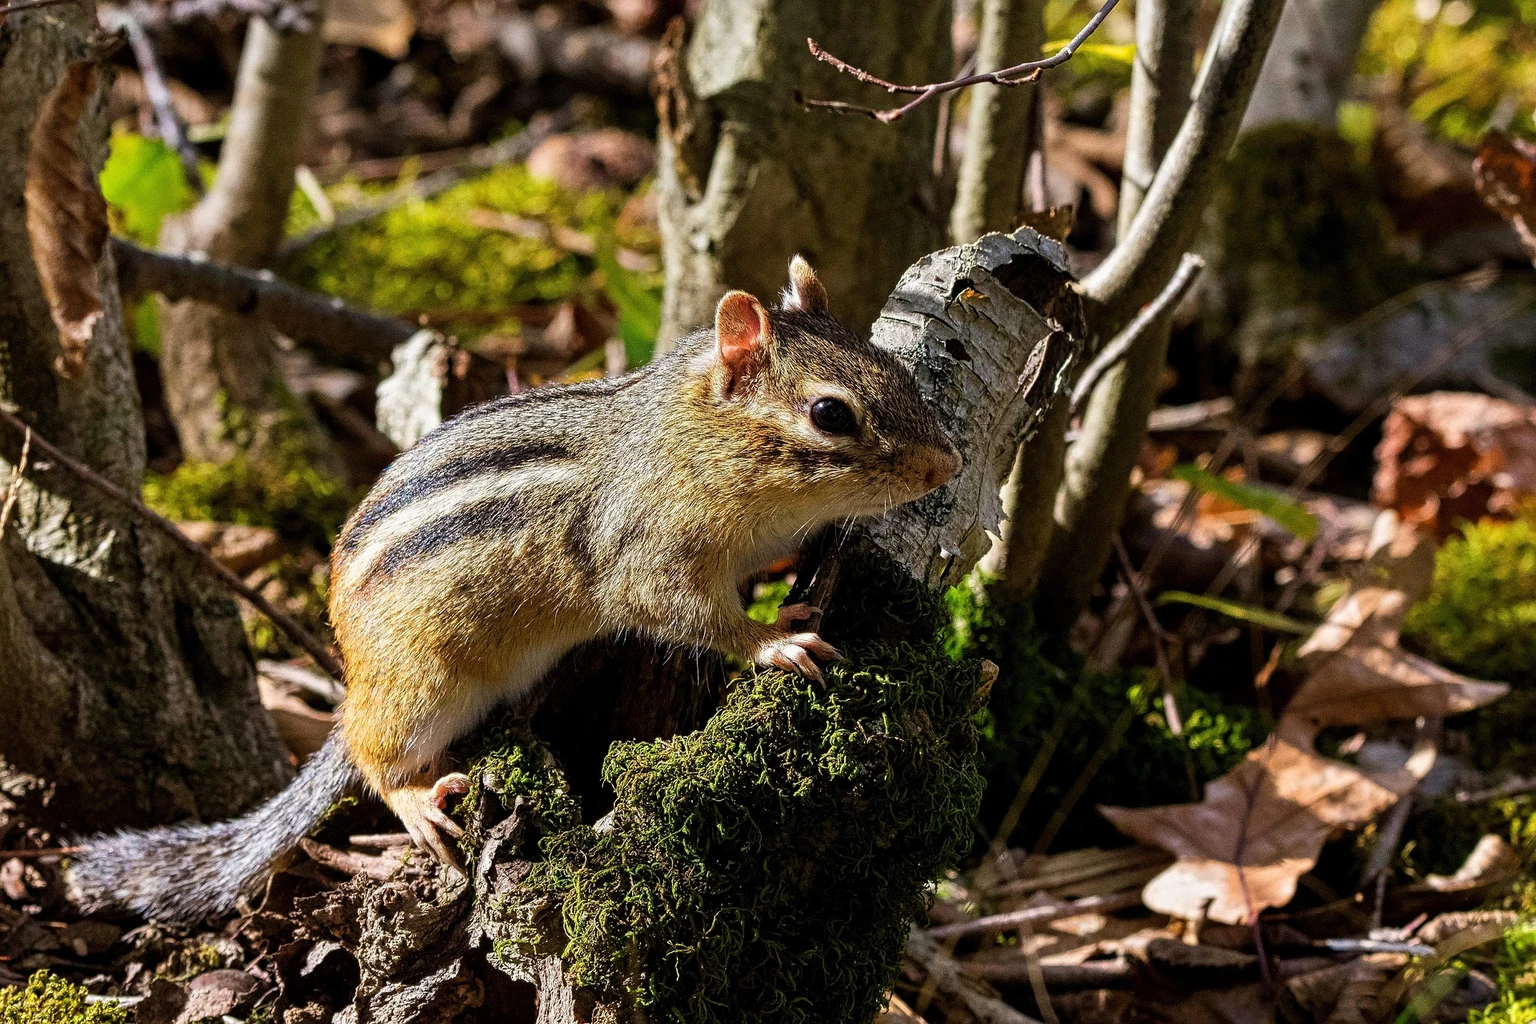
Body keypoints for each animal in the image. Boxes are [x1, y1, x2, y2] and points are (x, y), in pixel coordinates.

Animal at [67, 257, 961, 923]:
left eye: (893, 369)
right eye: (830, 415)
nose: (944, 466)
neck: (693, 440)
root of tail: (354, 667)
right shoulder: (647, 553)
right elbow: (682, 613)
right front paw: (774, 639)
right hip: (423, 685)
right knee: (368, 747)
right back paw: (416, 802)